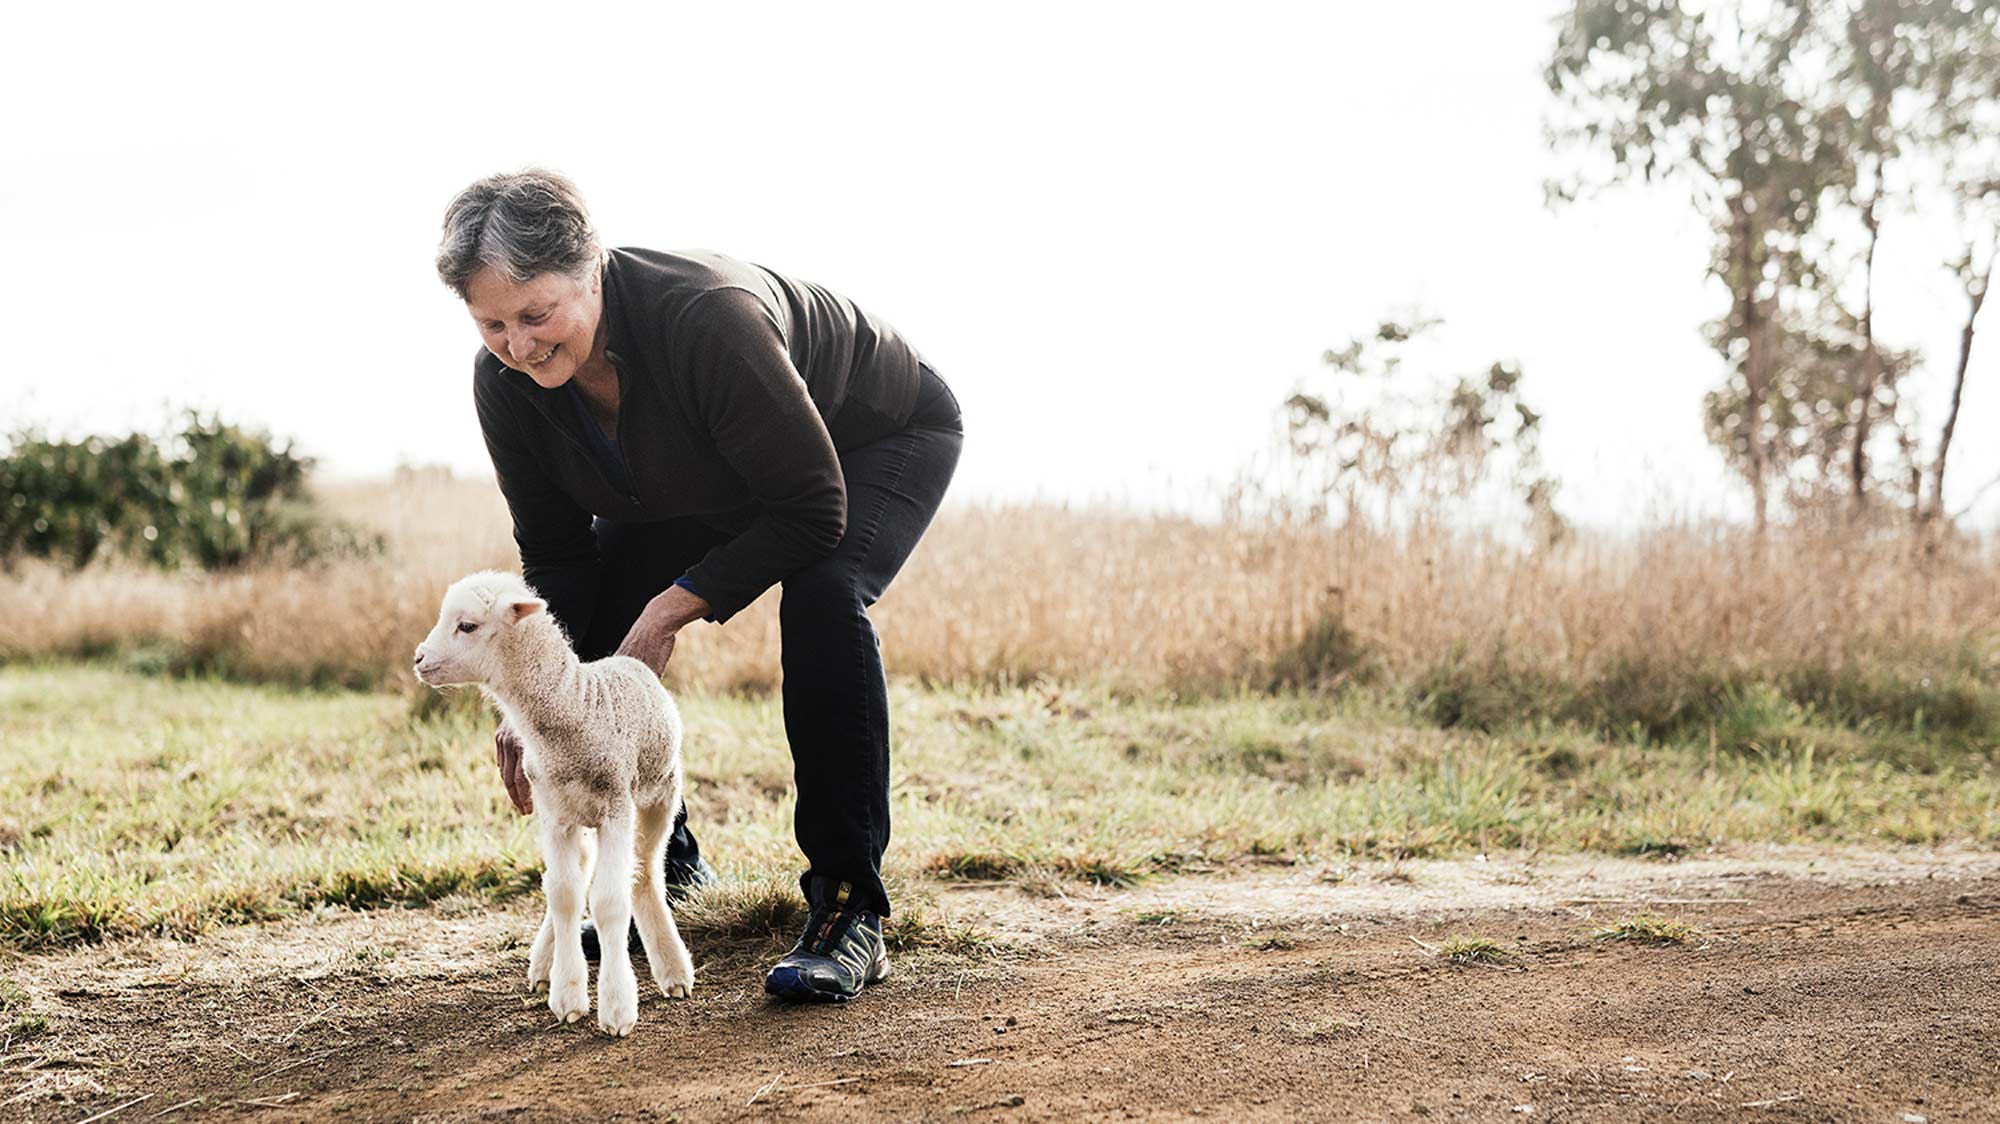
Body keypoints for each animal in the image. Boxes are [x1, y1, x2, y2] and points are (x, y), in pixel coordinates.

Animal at [410, 568, 700, 1032]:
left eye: (467, 626)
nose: (419, 659)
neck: (576, 706)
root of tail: (629, 662)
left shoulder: (616, 810)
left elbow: (609, 901)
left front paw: (616, 1007)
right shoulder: (556, 814)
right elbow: (563, 895)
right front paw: (567, 994)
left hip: (659, 796)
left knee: (643, 874)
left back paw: (672, 969)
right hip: (574, 814)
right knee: (580, 873)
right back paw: (546, 963)